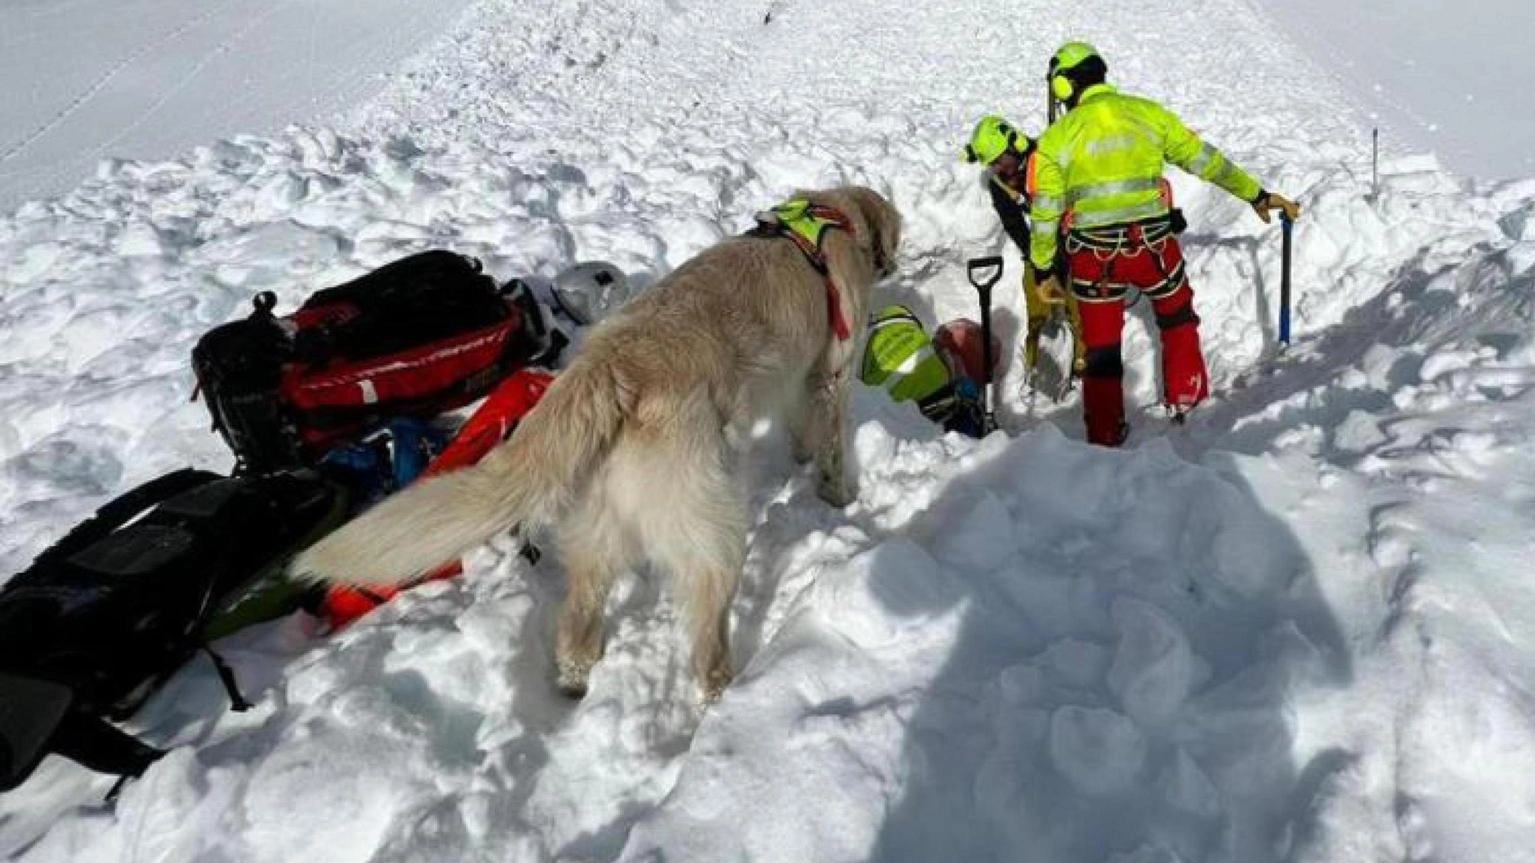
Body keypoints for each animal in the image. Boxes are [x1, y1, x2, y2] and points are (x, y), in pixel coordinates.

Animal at [290, 182, 896, 700]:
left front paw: (802, 459)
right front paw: (839, 496)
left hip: (601, 524)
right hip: (711, 525)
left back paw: (575, 683)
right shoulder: (832, 371)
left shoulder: (800, 381)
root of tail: (609, 368)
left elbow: (801, 427)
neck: (830, 219)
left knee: (579, 623)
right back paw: (724, 693)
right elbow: (833, 440)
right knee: (705, 635)